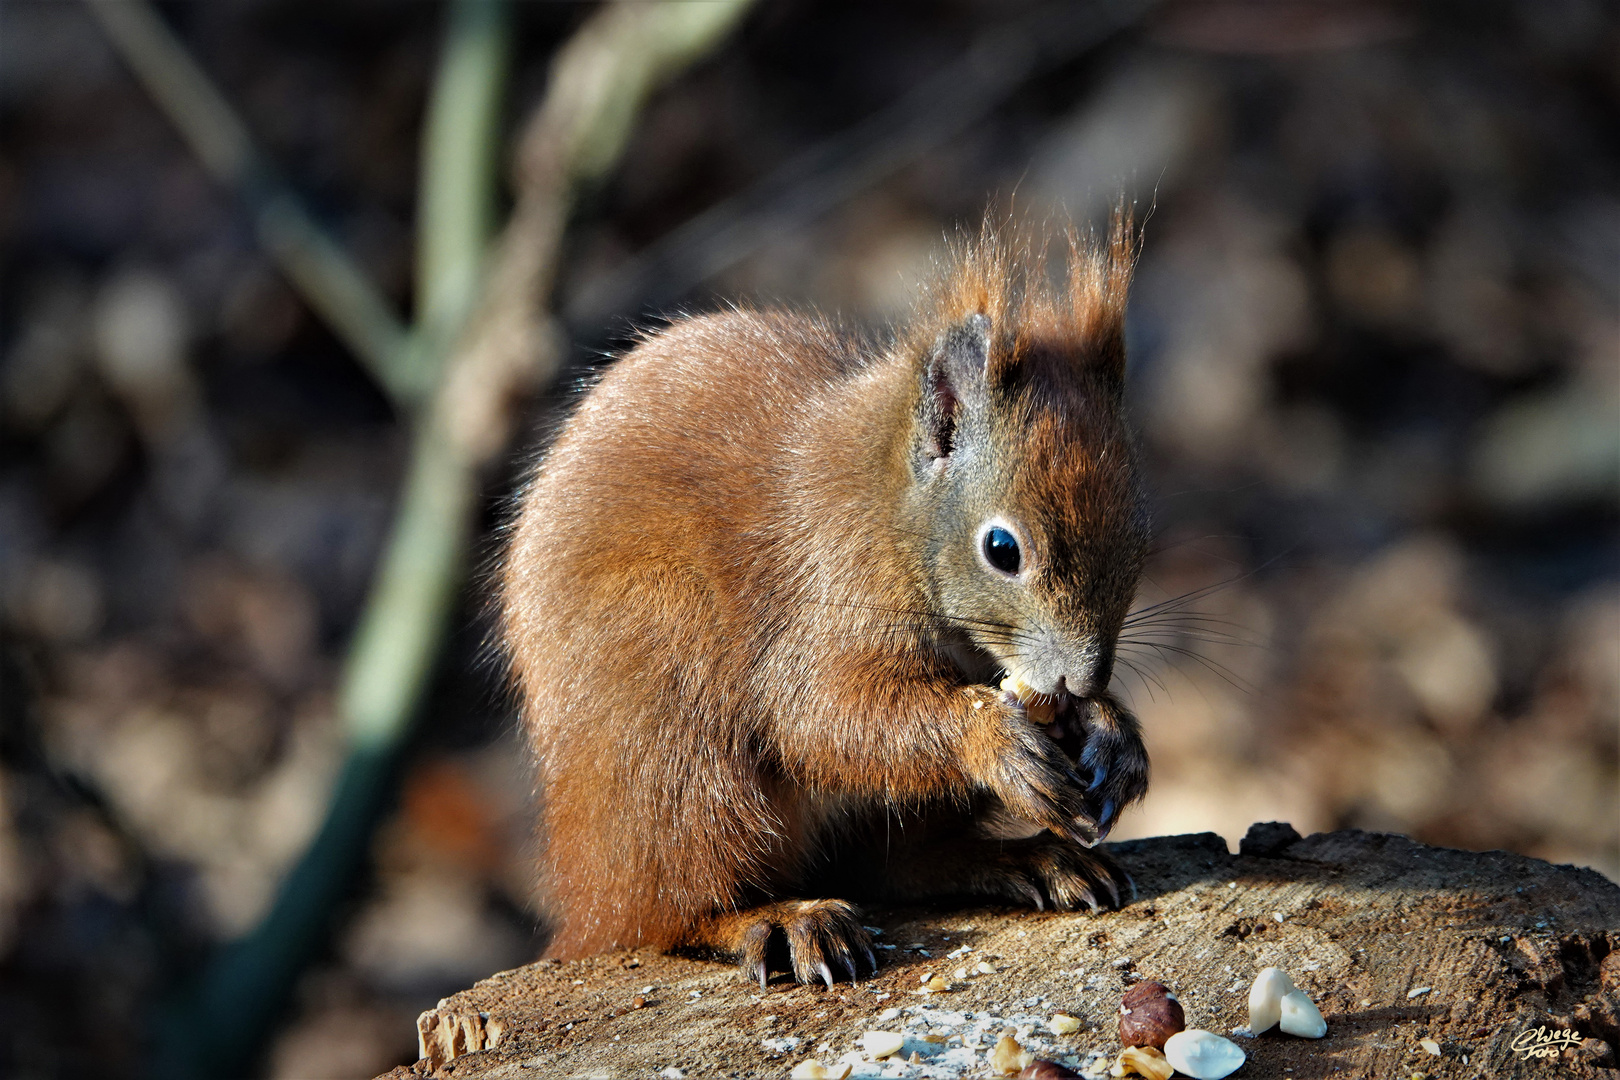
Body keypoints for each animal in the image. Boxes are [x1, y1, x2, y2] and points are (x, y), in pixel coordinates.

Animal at [498, 216, 1146, 990]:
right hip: (669, 725)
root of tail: (586, 900)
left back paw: (1030, 858)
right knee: (672, 912)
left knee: (898, 865)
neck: (888, 511)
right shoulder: (821, 590)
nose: (1082, 678)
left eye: (1138, 526)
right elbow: (821, 716)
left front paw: (1113, 734)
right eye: (1001, 548)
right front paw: (992, 737)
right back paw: (775, 919)